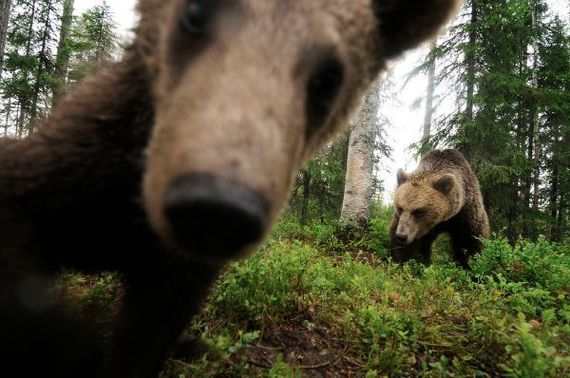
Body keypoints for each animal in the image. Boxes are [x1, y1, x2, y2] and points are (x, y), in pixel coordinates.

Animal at [0, 1, 458, 376]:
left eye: (330, 77)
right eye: (197, 12)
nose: (216, 206)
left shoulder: (177, 274)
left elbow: (148, 336)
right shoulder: (80, 165)